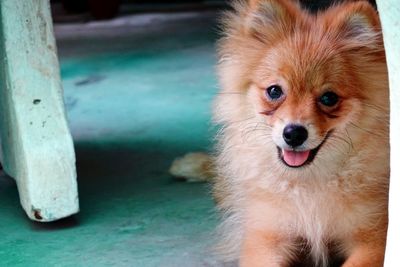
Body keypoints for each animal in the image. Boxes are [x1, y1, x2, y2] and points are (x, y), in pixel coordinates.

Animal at [212, 0, 390, 266]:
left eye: (329, 98)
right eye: (274, 91)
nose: (294, 133)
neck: (308, 181)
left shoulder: (374, 239)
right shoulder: (266, 237)